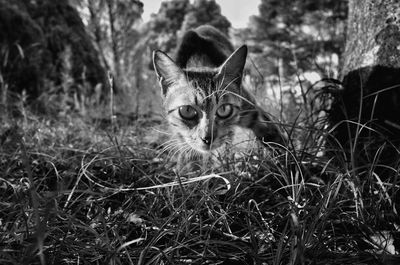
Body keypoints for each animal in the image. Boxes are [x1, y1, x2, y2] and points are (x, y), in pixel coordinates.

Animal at [152, 25, 286, 171]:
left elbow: (275, 138)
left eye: (224, 109)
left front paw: (288, 163)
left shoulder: (254, 111)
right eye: (187, 111)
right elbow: (189, 155)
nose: (207, 138)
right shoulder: (182, 136)